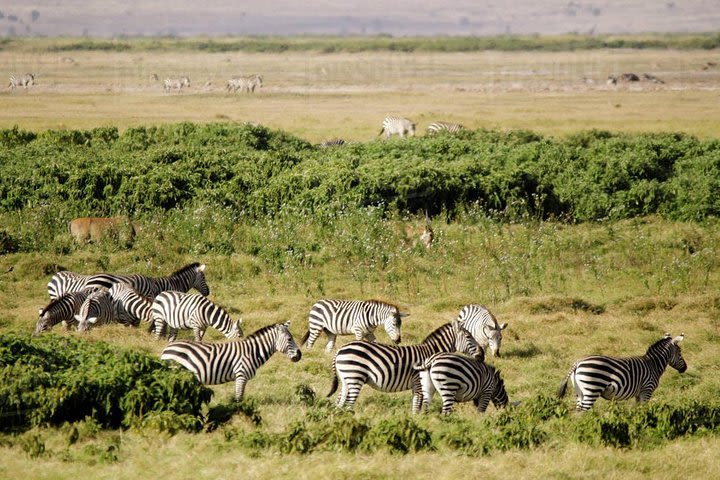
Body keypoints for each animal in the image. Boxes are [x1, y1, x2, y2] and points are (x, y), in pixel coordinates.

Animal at [160, 322, 300, 402]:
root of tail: (166, 349)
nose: (299, 355)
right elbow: (238, 398)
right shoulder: (241, 375)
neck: (252, 351)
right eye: (289, 339)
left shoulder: (242, 378)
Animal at [326, 318, 478, 412]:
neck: (430, 354)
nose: (481, 354)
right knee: (348, 402)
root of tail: (340, 349)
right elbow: (417, 407)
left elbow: (415, 406)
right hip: (355, 376)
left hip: (346, 378)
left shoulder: (415, 386)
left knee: (339, 401)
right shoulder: (418, 383)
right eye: (469, 337)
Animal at [556, 332, 688, 410]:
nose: (685, 368)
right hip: (592, 388)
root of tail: (577, 363)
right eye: (680, 352)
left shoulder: (639, 393)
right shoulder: (647, 389)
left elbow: (637, 409)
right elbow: (644, 409)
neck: (653, 364)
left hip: (580, 392)